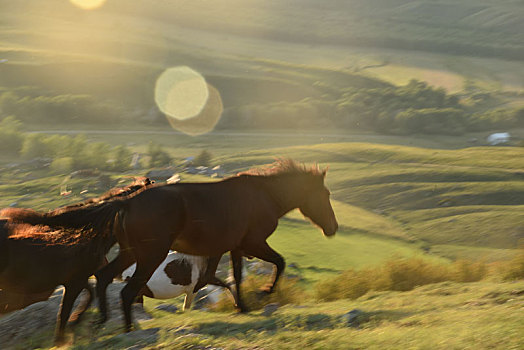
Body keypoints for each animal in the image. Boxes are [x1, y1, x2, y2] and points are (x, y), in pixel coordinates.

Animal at [5, 160, 340, 332]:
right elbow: (277, 263)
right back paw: (126, 328)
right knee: (126, 290)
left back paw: (99, 320)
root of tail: (127, 202)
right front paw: (265, 293)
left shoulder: (230, 247)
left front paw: (242, 307)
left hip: (131, 253)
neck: (264, 195)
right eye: (325, 195)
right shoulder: (253, 242)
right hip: (150, 255)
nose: (333, 228)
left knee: (103, 278)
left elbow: (230, 278)